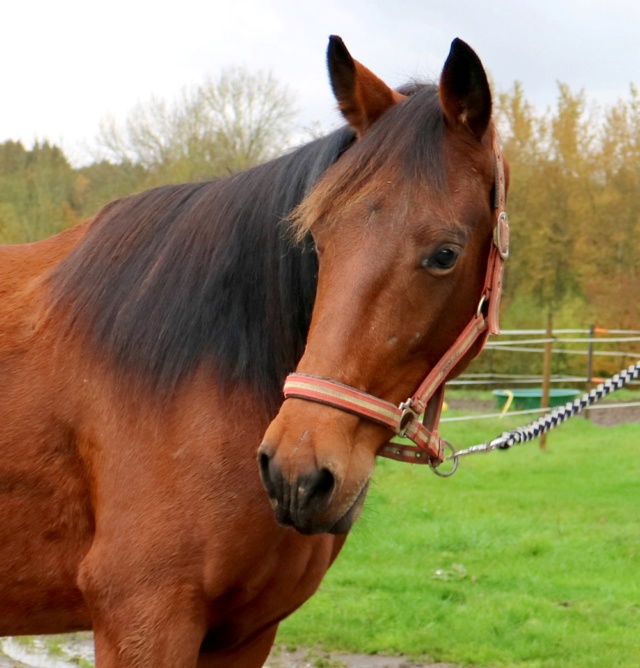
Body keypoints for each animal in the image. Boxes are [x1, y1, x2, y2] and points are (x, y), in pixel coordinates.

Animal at [0, 35, 510, 668]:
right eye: (316, 239)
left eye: (446, 254)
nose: (296, 472)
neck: (203, 374)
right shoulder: (142, 621)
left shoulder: (245, 634)